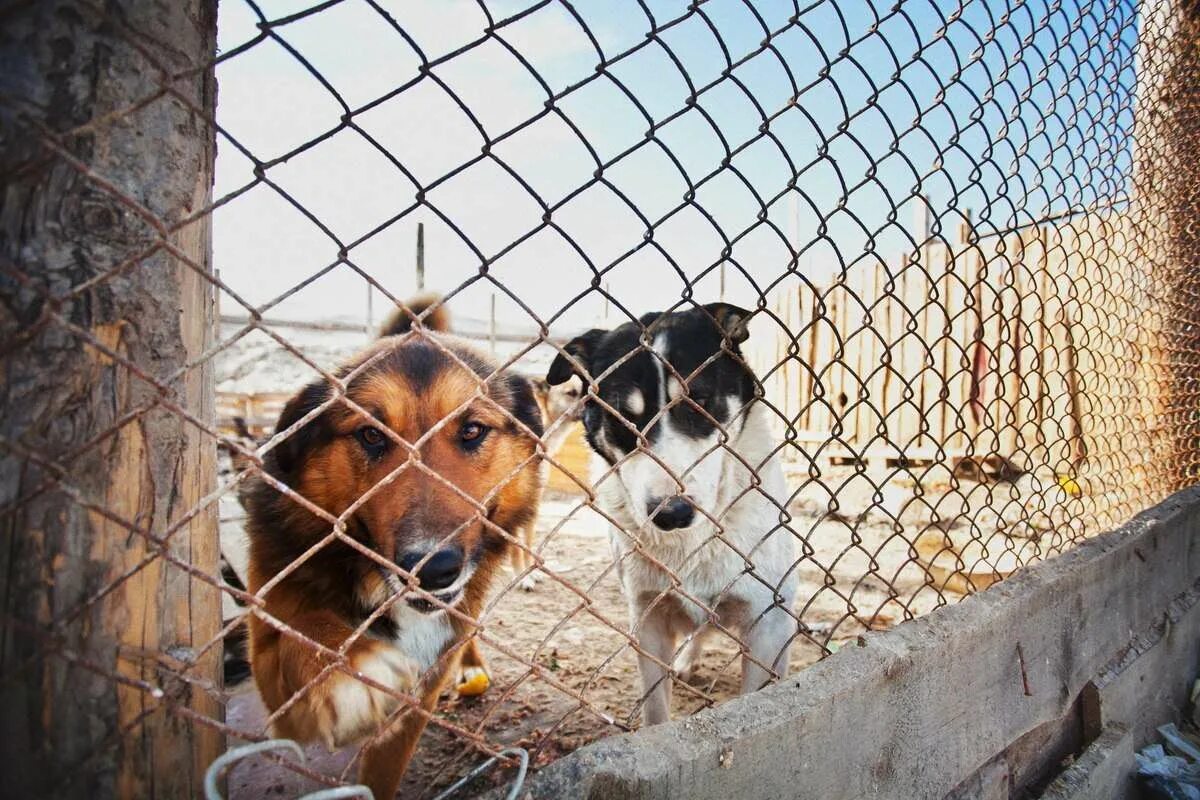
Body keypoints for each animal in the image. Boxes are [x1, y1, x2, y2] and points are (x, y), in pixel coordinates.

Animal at [244, 298, 544, 800]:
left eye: (472, 430)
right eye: (370, 435)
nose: (434, 568)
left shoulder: (419, 698)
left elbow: (383, 775)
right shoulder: (272, 684)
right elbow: (300, 630)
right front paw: (345, 666)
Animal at [549, 302, 796, 724]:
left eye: (701, 400)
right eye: (622, 417)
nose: (672, 514)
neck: (691, 542)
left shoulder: (767, 622)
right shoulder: (648, 618)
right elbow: (655, 708)